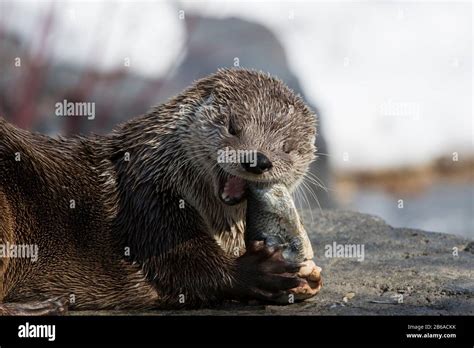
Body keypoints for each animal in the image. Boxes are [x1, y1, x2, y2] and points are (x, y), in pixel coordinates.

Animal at [0, 67, 320, 312]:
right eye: (233, 126)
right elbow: (183, 264)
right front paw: (263, 271)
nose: (257, 159)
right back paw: (44, 305)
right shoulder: (147, 198)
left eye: (288, 147)